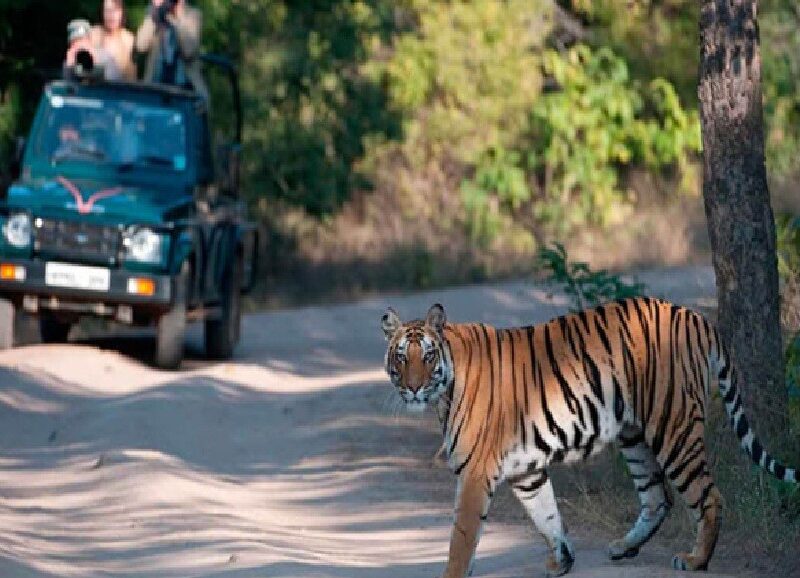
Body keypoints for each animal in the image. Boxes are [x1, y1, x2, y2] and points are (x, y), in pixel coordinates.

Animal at [380, 297, 797, 578]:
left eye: (427, 356)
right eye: (401, 357)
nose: (413, 388)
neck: (444, 391)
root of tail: (694, 315)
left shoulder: (475, 473)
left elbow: (462, 536)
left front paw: (452, 572)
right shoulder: (526, 471)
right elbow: (546, 514)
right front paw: (561, 560)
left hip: (673, 426)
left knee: (708, 495)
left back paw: (696, 560)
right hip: (634, 436)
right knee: (657, 497)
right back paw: (624, 547)